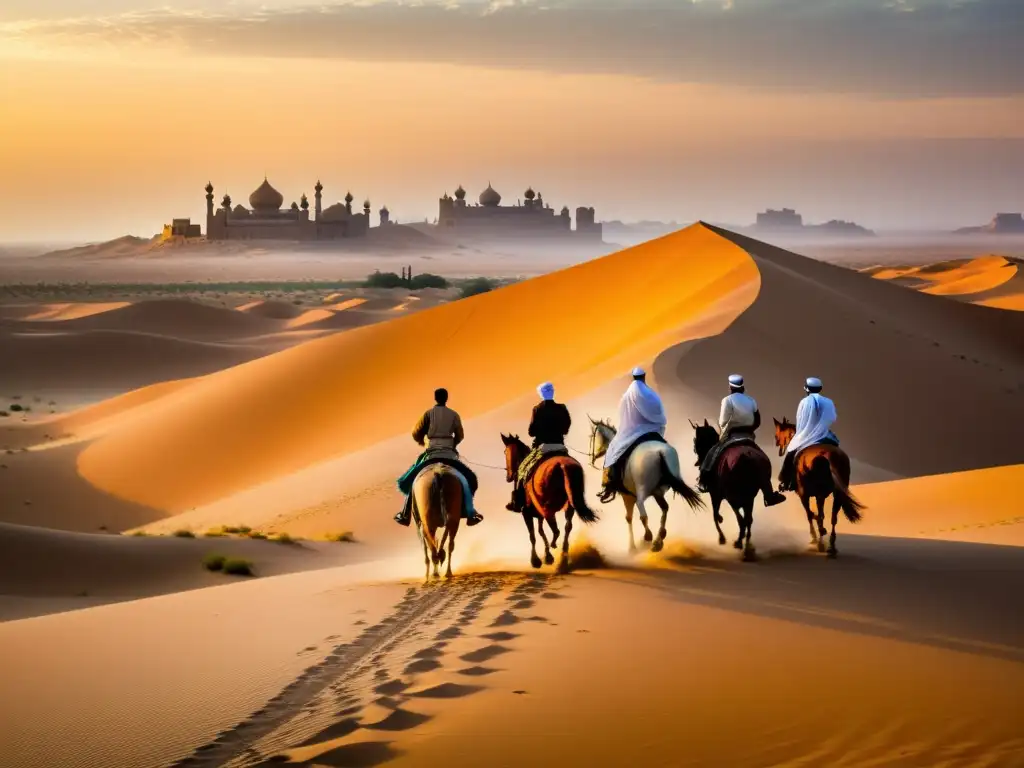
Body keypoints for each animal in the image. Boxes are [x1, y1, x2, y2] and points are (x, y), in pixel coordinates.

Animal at [497, 434, 598, 573]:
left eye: (505, 451)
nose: (509, 476)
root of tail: (562, 465)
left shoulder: (526, 512)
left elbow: (533, 535)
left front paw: (536, 560)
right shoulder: (538, 514)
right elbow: (541, 532)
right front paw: (547, 556)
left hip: (547, 506)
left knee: (556, 529)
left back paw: (555, 548)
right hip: (569, 506)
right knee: (567, 528)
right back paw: (563, 562)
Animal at [585, 421, 704, 552]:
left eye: (592, 437)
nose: (592, 457)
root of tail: (659, 452)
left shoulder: (627, 496)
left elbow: (629, 518)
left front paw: (632, 548)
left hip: (643, 489)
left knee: (642, 508)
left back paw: (648, 536)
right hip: (658, 491)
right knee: (665, 508)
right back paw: (659, 539)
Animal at [696, 421, 774, 561]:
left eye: (697, 441)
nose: (699, 462)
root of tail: (747, 457)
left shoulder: (715, 495)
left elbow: (715, 515)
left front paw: (722, 537)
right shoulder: (745, 499)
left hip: (733, 497)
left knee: (741, 519)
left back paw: (739, 543)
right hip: (748, 496)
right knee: (748, 519)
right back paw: (747, 550)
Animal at [774, 415, 864, 561]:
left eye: (777, 435)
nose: (779, 449)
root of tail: (828, 456)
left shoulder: (803, 494)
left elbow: (810, 515)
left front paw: (815, 538)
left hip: (817, 493)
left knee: (819, 515)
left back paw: (822, 540)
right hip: (837, 493)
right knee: (833, 517)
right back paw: (831, 547)